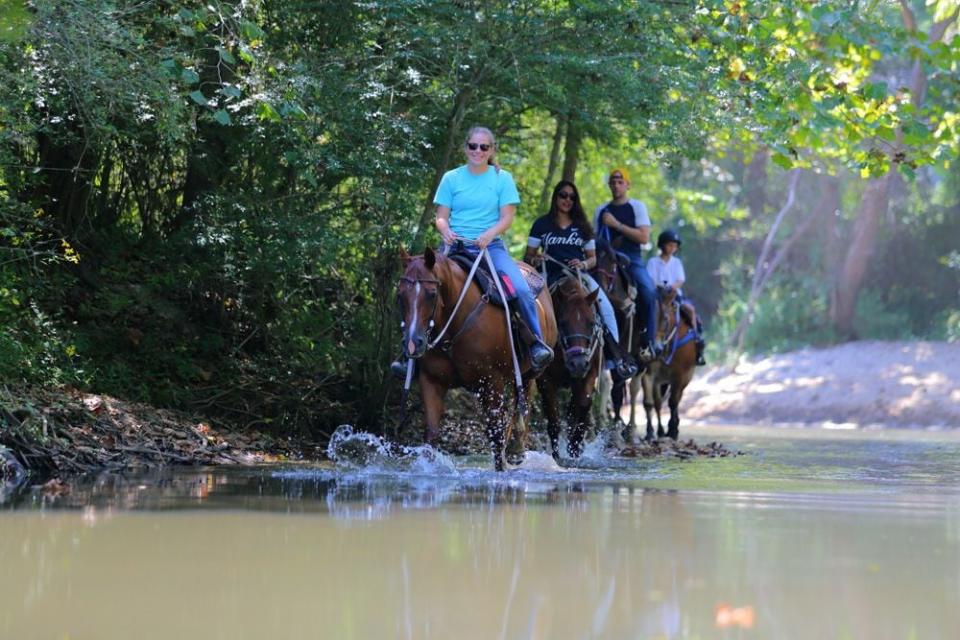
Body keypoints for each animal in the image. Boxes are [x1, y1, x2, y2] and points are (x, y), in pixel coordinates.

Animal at [398, 246, 560, 470]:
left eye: (432, 294)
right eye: (400, 294)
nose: (413, 343)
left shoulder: (492, 382)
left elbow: (496, 435)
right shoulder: (431, 380)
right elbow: (431, 435)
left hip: (527, 374)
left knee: (522, 406)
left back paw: (517, 449)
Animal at [540, 276, 600, 460]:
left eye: (591, 323)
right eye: (563, 323)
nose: (578, 363)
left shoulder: (589, 373)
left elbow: (583, 405)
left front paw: (575, 446)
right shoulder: (546, 380)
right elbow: (553, 418)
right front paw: (556, 455)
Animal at [628, 284, 692, 440]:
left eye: (665, 319)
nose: (656, 348)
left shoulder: (681, 375)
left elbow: (673, 402)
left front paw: (673, 430)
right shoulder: (650, 373)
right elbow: (648, 403)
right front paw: (650, 432)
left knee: (676, 399)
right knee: (658, 402)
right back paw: (660, 431)